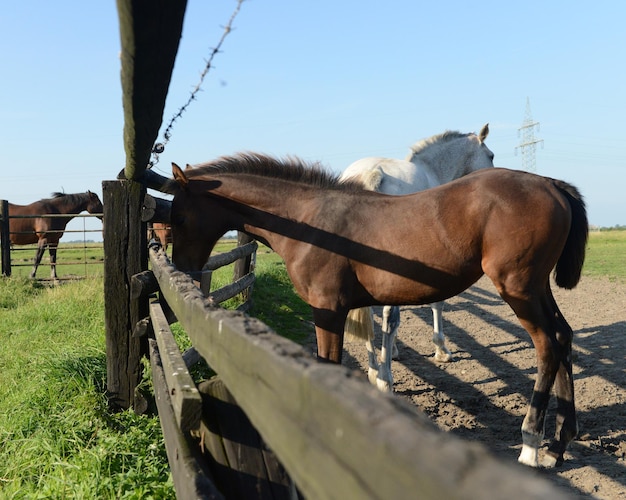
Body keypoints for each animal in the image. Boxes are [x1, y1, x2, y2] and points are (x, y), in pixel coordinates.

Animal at [161, 153, 584, 468]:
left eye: (178, 217)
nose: (182, 269)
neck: (309, 222)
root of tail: (551, 184)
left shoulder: (328, 311)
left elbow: (328, 365)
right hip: (537, 288)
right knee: (563, 336)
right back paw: (559, 444)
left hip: (518, 288)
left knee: (547, 345)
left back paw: (531, 445)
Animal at [338, 124, 494, 390]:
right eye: (491, 156)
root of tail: (371, 173)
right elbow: (437, 303)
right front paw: (441, 350)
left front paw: (393, 352)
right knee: (389, 317)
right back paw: (384, 379)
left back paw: (373, 370)